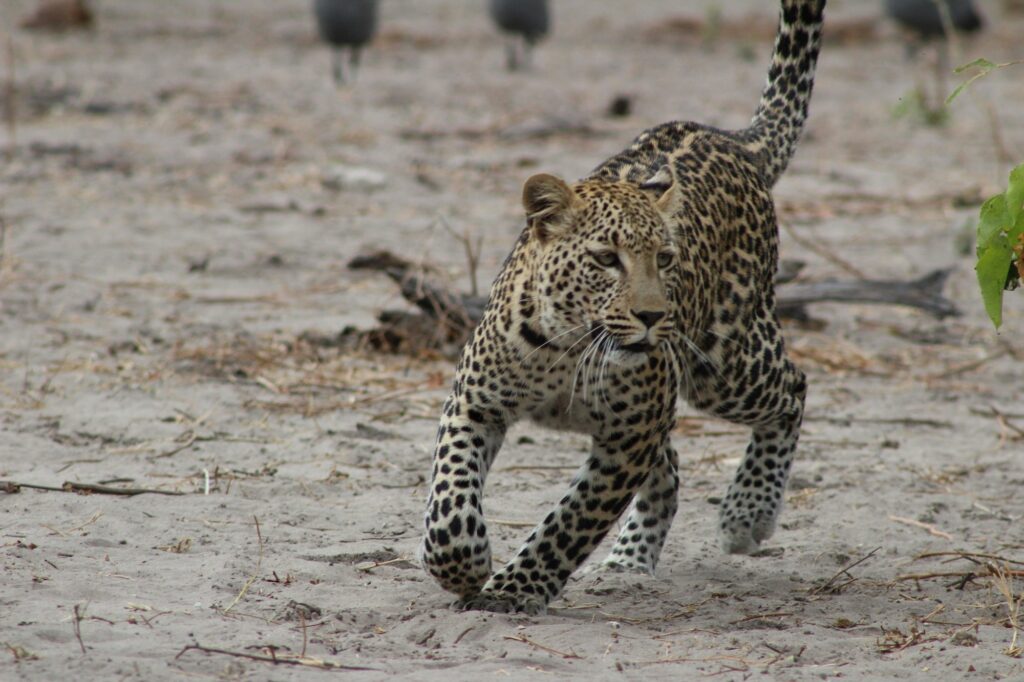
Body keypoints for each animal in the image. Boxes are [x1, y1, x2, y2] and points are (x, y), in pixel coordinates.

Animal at [420, 0, 826, 615]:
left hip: (724, 364)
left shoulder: (628, 439)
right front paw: (464, 564)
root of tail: (733, 140)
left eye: (665, 258)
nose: (653, 317)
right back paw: (629, 563)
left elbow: (570, 521)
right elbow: (449, 498)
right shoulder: (475, 402)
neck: (566, 349)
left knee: (793, 388)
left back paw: (746, 512)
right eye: (607, 259)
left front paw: (513, 590)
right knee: (674, 466)